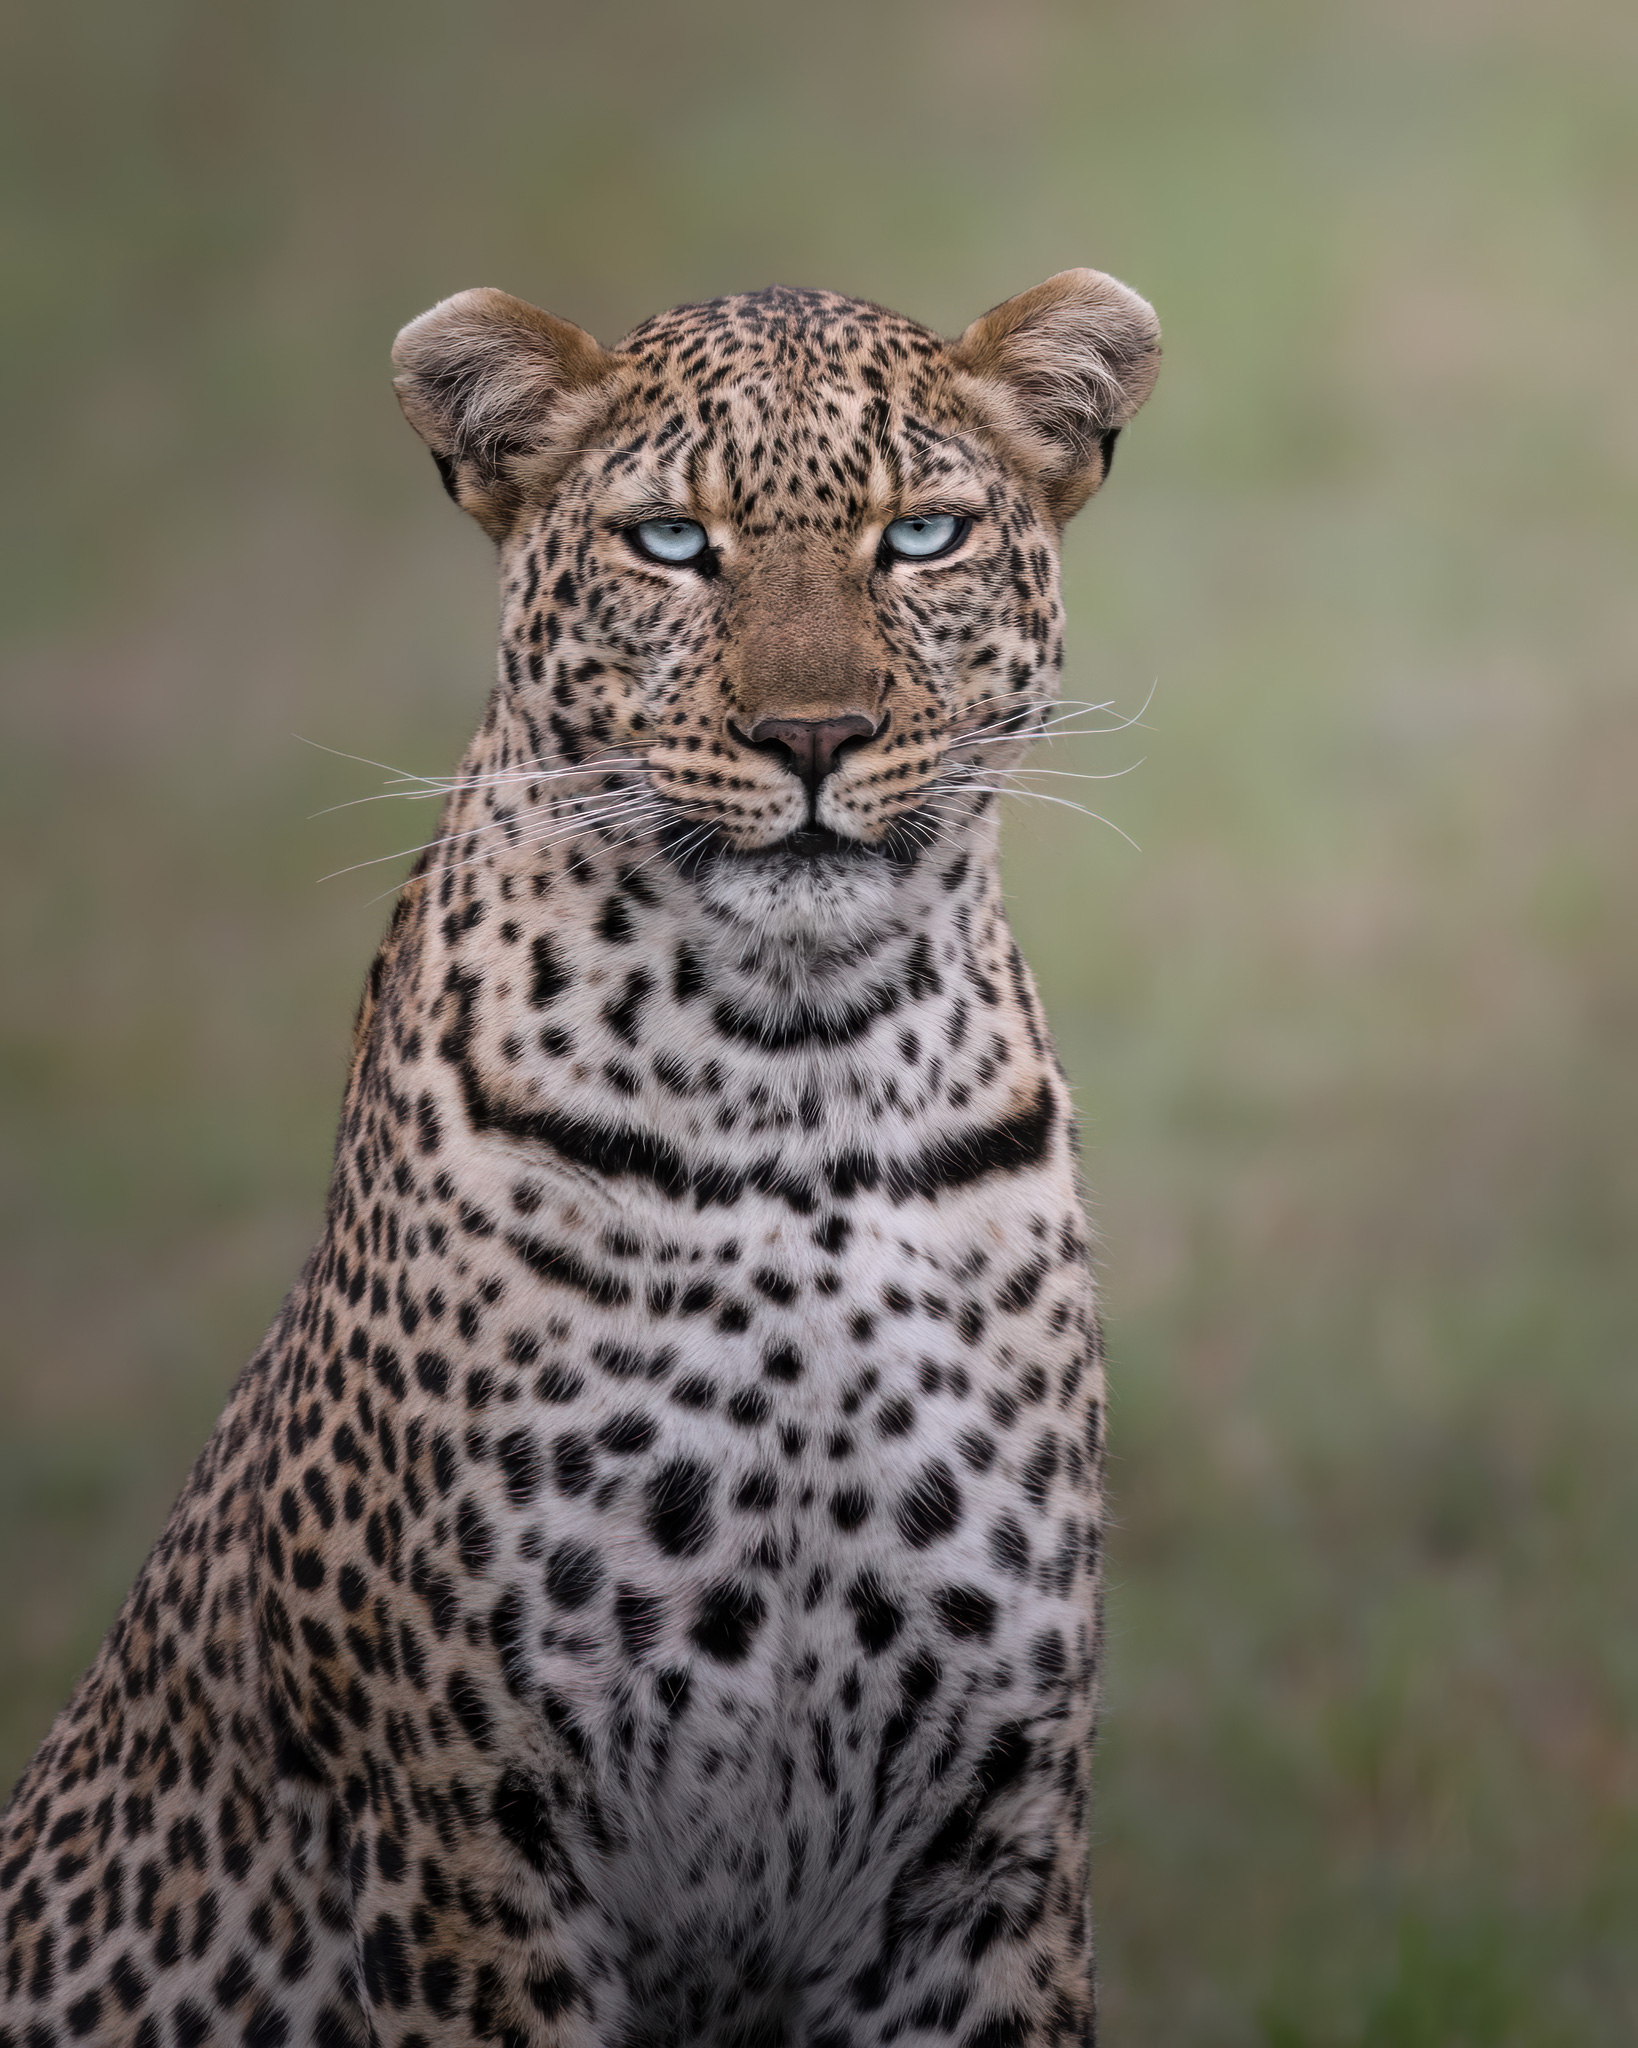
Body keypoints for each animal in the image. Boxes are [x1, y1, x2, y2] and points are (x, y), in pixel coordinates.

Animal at [1, 267, 1160, 2048]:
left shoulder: (992, 1839)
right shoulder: (470, 1837)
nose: (813, 736)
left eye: (922, 536)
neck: (799, 1074)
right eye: (672, 544)